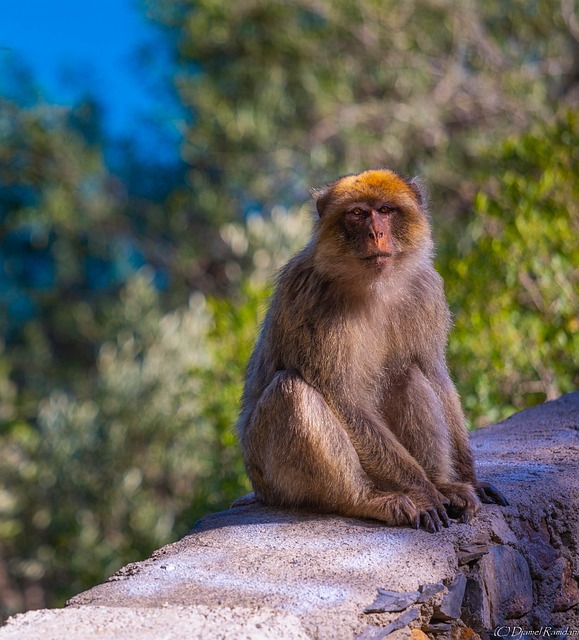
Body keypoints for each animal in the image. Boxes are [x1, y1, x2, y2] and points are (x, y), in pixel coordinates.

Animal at [236, 168, 508, 532]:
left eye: (385, 210)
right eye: (358, 214)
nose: (375, 232)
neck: (373, 285)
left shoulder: (426, 290)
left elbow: (434, 373)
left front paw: (466, 481)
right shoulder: (309, 297)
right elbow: (343, 398)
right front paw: (425, 493)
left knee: (406, 374)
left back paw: (443, 483)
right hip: (270, 476)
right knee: (290, 390)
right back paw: (368, 500)